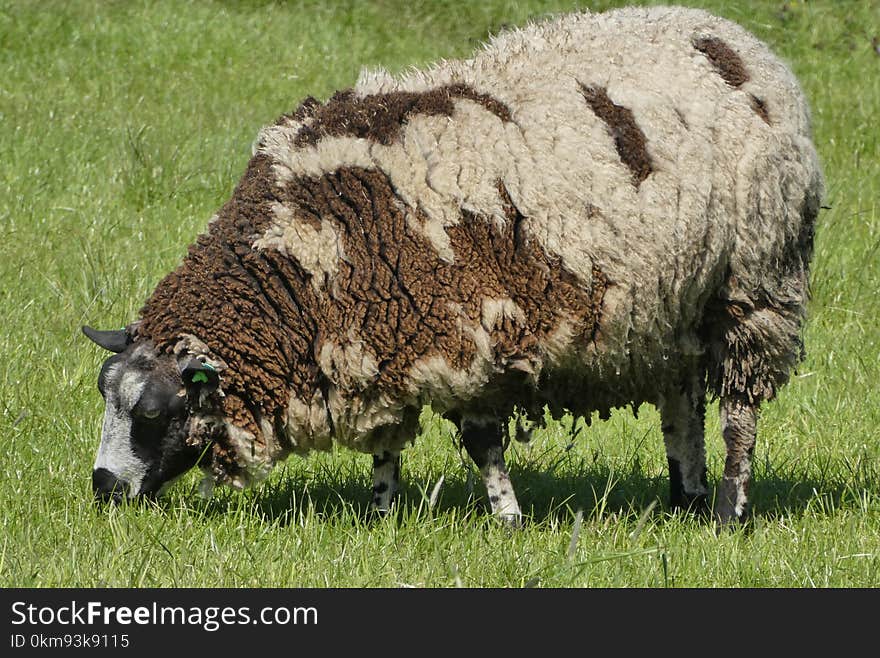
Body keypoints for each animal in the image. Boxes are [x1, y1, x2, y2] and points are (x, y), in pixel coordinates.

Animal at [86, 5, 820, 524]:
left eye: (152, 413)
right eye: (107, 396)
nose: (102, 488)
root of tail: (742, 44)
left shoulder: (465, 338)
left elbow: (482, 441)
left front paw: (508, 521)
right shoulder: (374, 341)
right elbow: (386, 445)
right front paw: (382, 517)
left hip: (754, 281)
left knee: (740, 412)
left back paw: (726, 510)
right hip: (673, 302)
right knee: (683, 400)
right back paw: (685, 495)